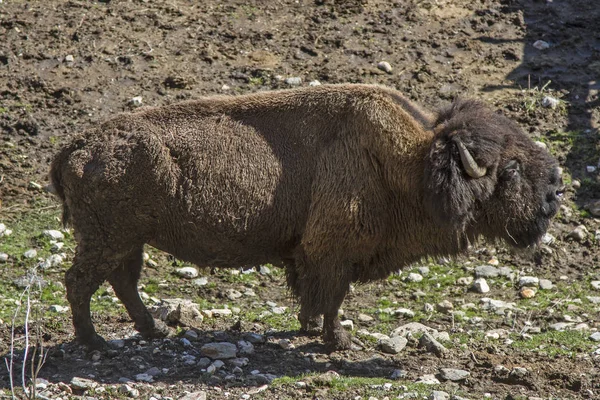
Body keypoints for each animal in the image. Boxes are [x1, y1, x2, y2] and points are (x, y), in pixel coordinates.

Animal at [49, 83, 560, 350]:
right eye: (511, 169)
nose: (555, 194)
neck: (411, 162)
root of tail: (75, 146)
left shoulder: (311, 256)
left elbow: (312, 296)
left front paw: (308, 328)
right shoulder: (333, 254)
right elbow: (332, 297)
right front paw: (337, 341)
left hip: (128, 240)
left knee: (121, 282)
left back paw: (151, 330)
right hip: (107, 239)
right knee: (80, 282)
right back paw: (94, 341)